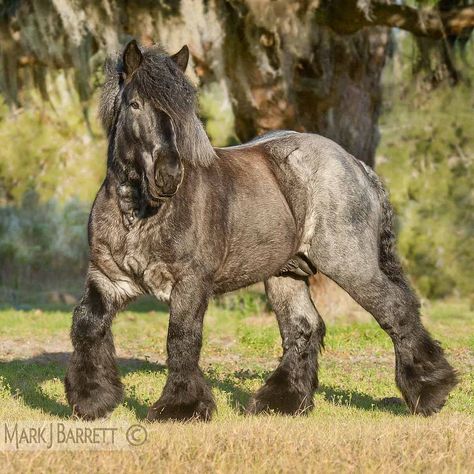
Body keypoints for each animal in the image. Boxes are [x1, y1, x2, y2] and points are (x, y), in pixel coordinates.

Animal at [65, 39, 458, 420]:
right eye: (134, 104)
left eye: (184, 108)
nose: (169, 176)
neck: (139, 213)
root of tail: (356, 165)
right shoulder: (109, 278)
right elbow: (87, 323)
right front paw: (92, 399)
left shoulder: (191, 282)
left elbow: (182, 337)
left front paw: (180, 407)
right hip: (287, 272)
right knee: (303, 327)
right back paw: (282, 402)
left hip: (350, 265)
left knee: (395, 309)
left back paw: (430, 391)